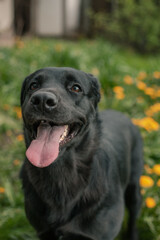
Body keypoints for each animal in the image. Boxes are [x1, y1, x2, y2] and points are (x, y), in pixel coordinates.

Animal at [20, 66, 142, 239]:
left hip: (134, 187)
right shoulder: (44, 232)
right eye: (33, 85)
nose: (42, 99)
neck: (61, 171)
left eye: (76, 88)